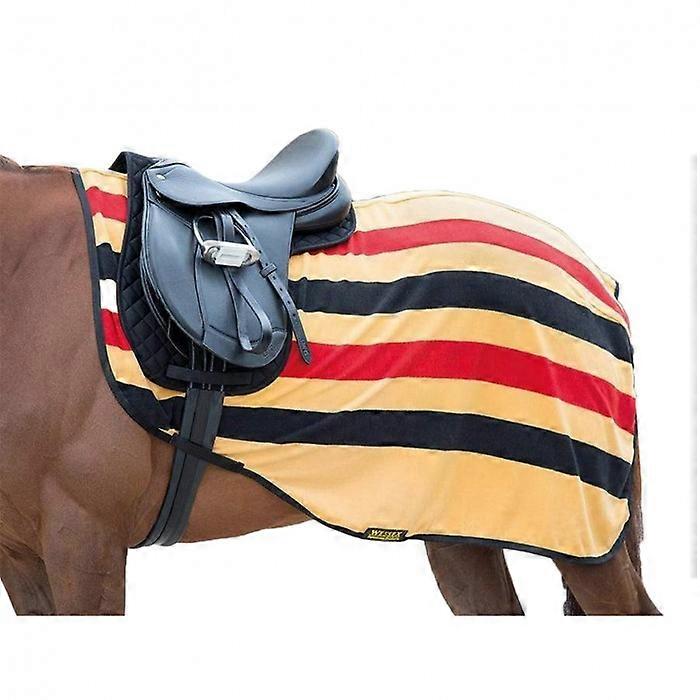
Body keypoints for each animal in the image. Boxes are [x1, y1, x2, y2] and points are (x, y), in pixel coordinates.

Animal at [0, 154, 660, 615]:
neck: (29, 274)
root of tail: (597, 276)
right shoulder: (24, 559)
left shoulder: (85, 541)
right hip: (463, 526)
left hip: (583, 534)